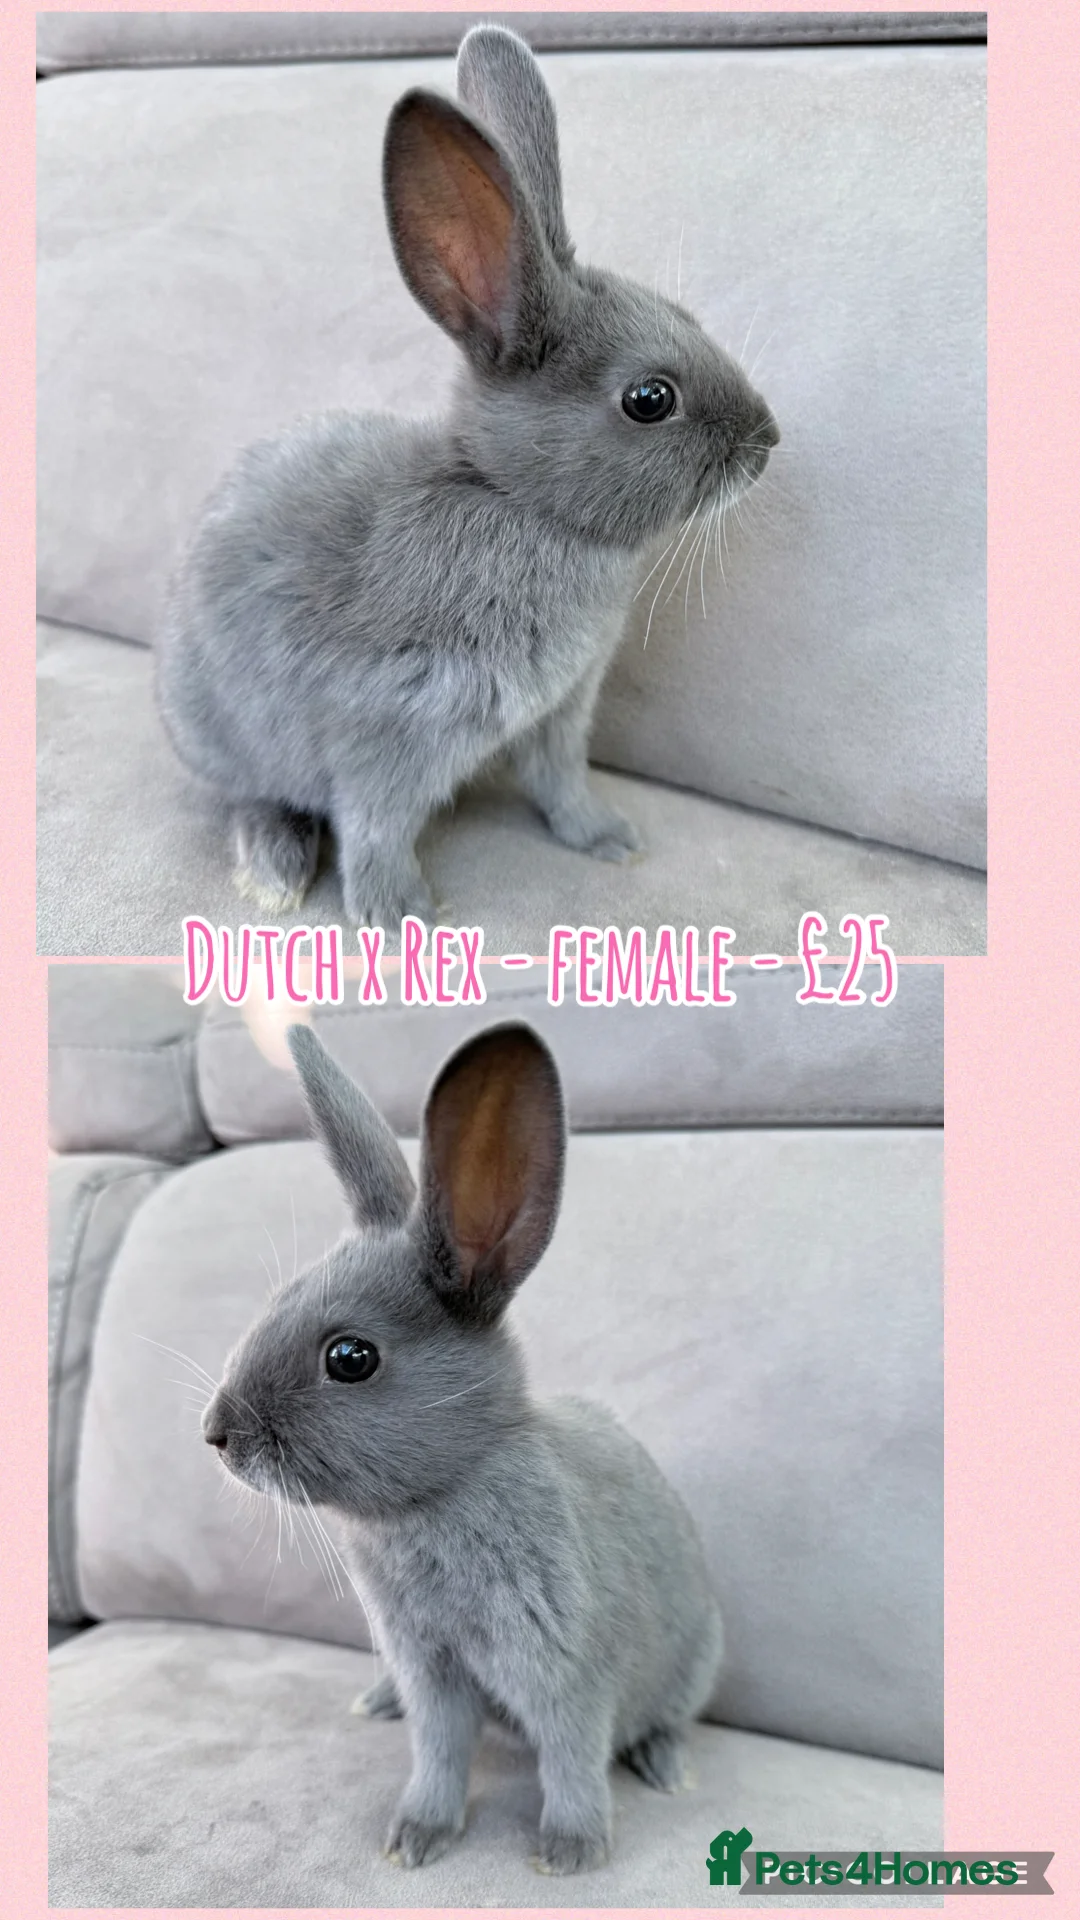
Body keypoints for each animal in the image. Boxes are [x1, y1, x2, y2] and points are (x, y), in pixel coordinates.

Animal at [156, 25, 779, 927]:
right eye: (649, 399)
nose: (769, 440)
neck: (515, 500)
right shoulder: (389, 726)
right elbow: (376, 828)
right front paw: (399, 917)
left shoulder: (560, 711)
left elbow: (560, 783)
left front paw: (609, 839)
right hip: (227, 737)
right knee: (253, 796)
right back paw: (273, 871)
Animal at [202, 1021, 723, 1874]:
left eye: (351, 1357)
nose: (217, 1435)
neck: (444, 1494)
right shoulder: (430, 1670)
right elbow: (439, 1753)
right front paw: (417, 1835)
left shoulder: (565, 1673)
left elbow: (571, 1758)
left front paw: (571, 1851)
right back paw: (376, 1701)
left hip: (695, 1661)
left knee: (669, 1720)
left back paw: (666, 1766)